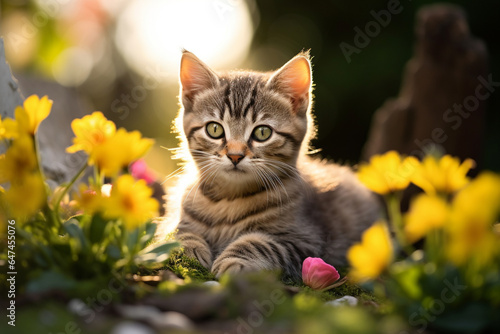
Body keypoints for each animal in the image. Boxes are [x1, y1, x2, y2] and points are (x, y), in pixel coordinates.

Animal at [164, 49, 378, 280]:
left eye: (262, 132)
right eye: (214, 129)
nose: (235, 155)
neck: (229, 198)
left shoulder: (306, 240)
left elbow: (259, 244)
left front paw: (234, 261)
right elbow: (176, 233)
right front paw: (186, 249)